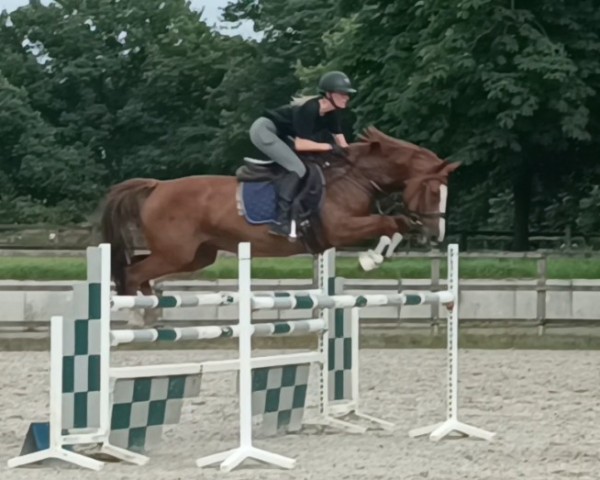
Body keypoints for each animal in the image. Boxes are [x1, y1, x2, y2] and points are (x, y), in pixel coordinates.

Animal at [98, 127, 460, 300]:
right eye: (432, 191)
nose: (436, 235)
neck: (355, 175)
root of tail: (157, 186)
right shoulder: (340, 228)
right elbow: (391, 221)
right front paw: (370, 259)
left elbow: (395, 224)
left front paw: (376, 257)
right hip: (176, 253)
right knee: (132, 273)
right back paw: (138, 317)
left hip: (196, 255)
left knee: (135, 269)